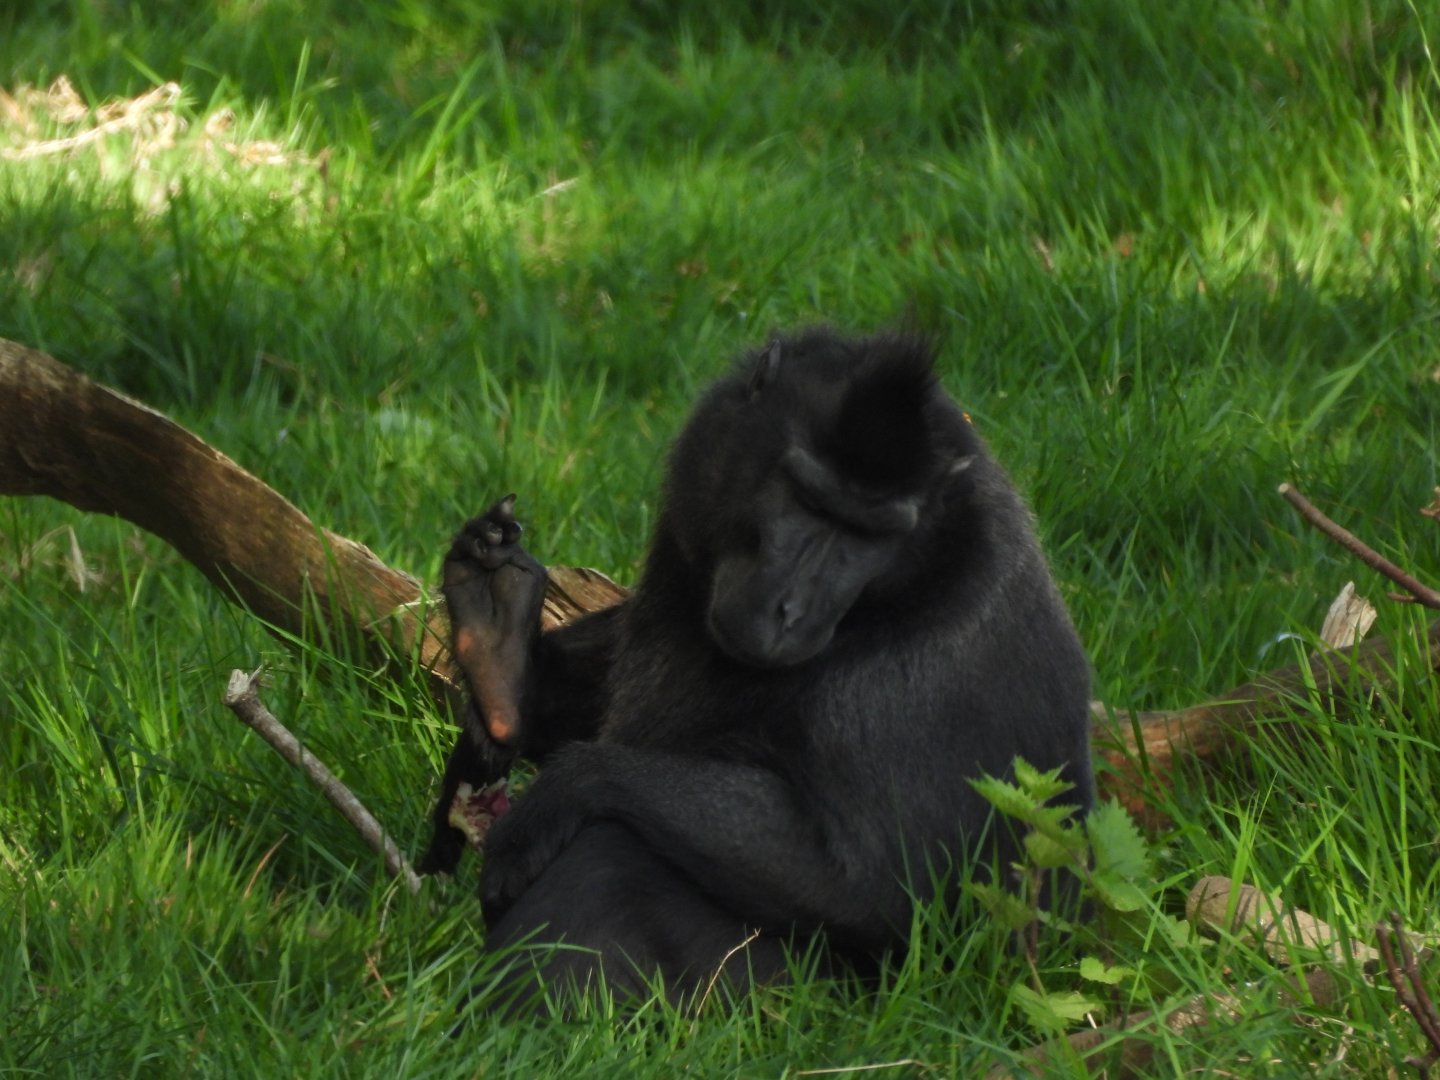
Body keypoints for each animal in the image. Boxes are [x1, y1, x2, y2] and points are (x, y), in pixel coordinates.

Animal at [420, 328, 1095, 1009]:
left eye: (866, 534)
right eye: (806, 500)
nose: (789, 609)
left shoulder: (914, 681)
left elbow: (871, 888)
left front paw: (567, 789)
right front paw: (506, 678)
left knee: (612, 852)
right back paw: (497, 656)